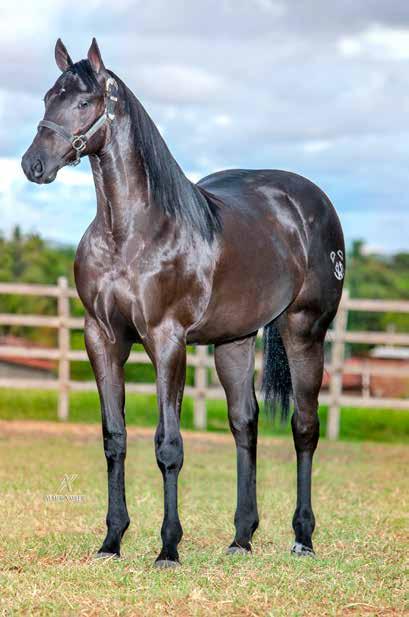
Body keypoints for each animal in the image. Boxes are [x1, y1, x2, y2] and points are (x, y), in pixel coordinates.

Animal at [22, 39, 344, 568]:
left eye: (85, 102)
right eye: (49, 97)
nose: (33, 165)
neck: (130, 232)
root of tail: (310, 202)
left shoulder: (166, 340)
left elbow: (168, 446)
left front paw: (168, 548)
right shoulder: (101, 338)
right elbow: (114, 438)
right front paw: (112, 541)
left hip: (305, 330)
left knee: (304, 426)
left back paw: (303, 537)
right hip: (234, 342)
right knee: (244, 424)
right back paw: (241, 538)